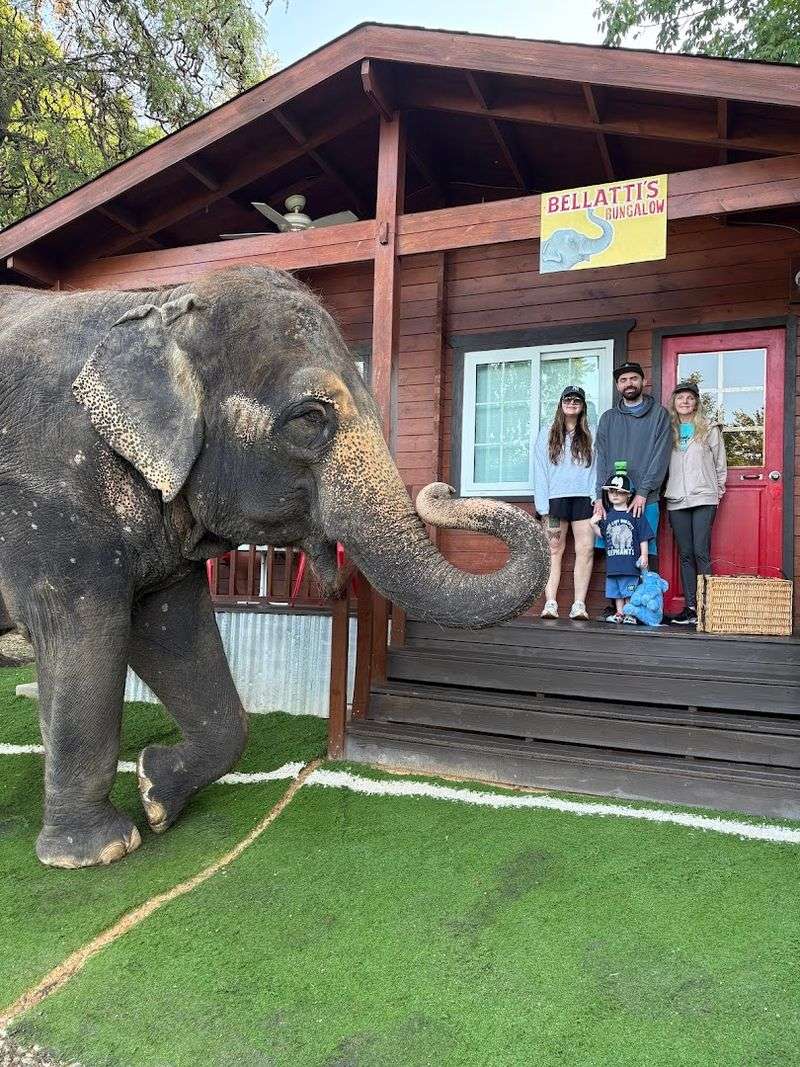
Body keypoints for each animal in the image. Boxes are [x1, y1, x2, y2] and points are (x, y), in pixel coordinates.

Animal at [0, 265, 549, 868]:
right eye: (311, 417)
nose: (444, 489)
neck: (162, 304)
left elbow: (176, 631)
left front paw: (156, 793)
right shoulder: (51, 503)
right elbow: (83, 632)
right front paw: (98, 850)